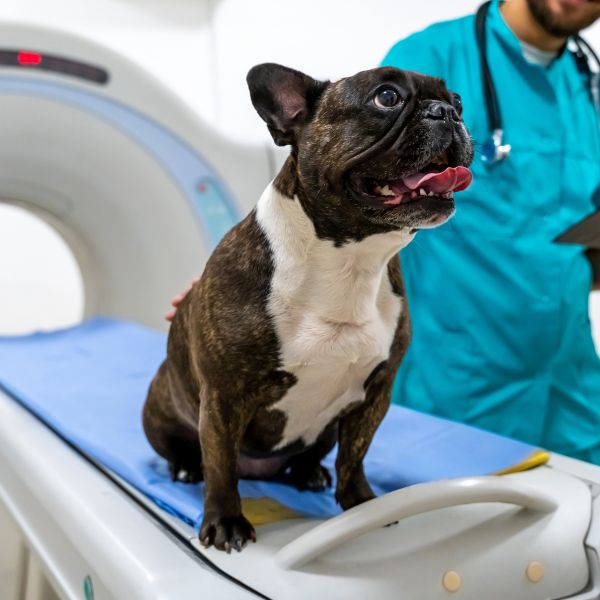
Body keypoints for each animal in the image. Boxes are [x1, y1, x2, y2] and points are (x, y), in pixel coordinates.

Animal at [142, 62, 474, 552]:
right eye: (387, 97)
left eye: (459, 101)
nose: (446, 112)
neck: (350, 260)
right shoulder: (223, 397)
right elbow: (220, 466)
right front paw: (225, 521)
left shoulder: (374, 393)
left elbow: (355, 455)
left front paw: (361, 504)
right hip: (162, 406)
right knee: (199, 454)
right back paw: (186, 467)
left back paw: (308, 473)